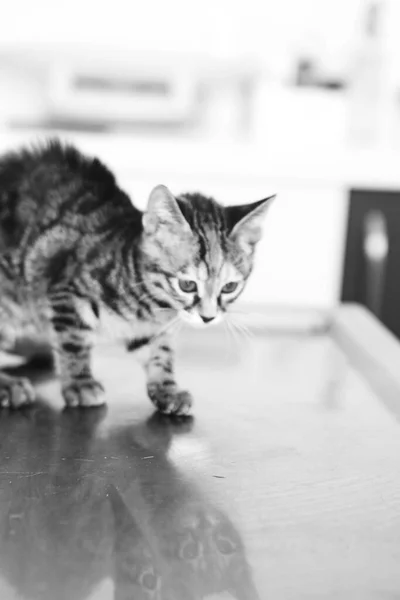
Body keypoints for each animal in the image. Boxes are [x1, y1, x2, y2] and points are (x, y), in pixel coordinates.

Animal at [0, 139, 274, 414]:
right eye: (187, 285)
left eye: (229, 287)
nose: (208, 318)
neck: (150, 304)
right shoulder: (65, 291)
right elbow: (73, 340)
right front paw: (80, 383)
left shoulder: (151, 328)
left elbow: (160, 352)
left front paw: (166, 388)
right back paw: (9, 385)